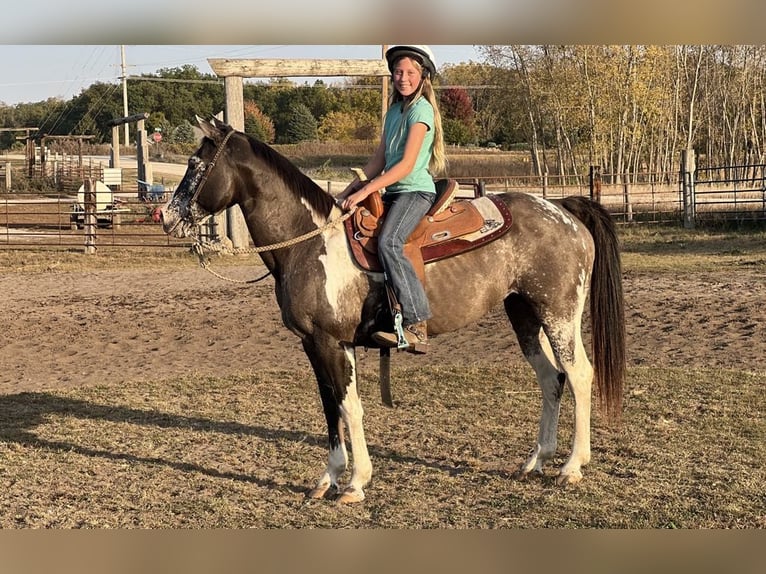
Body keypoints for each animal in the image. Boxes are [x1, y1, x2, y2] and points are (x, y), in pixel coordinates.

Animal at [159, 117, 628, 504]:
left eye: (195, 163)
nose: (165, 215)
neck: (310, 242)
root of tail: (563, 210)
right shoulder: (316, 345)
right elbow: (331, 408)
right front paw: (328, 479)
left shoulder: (331, 342)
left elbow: (350, 407)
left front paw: (354, 484)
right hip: (524, 314)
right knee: (551, 379)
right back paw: (536, 461)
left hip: (559, 313)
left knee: (579, 375)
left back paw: (571, 467)